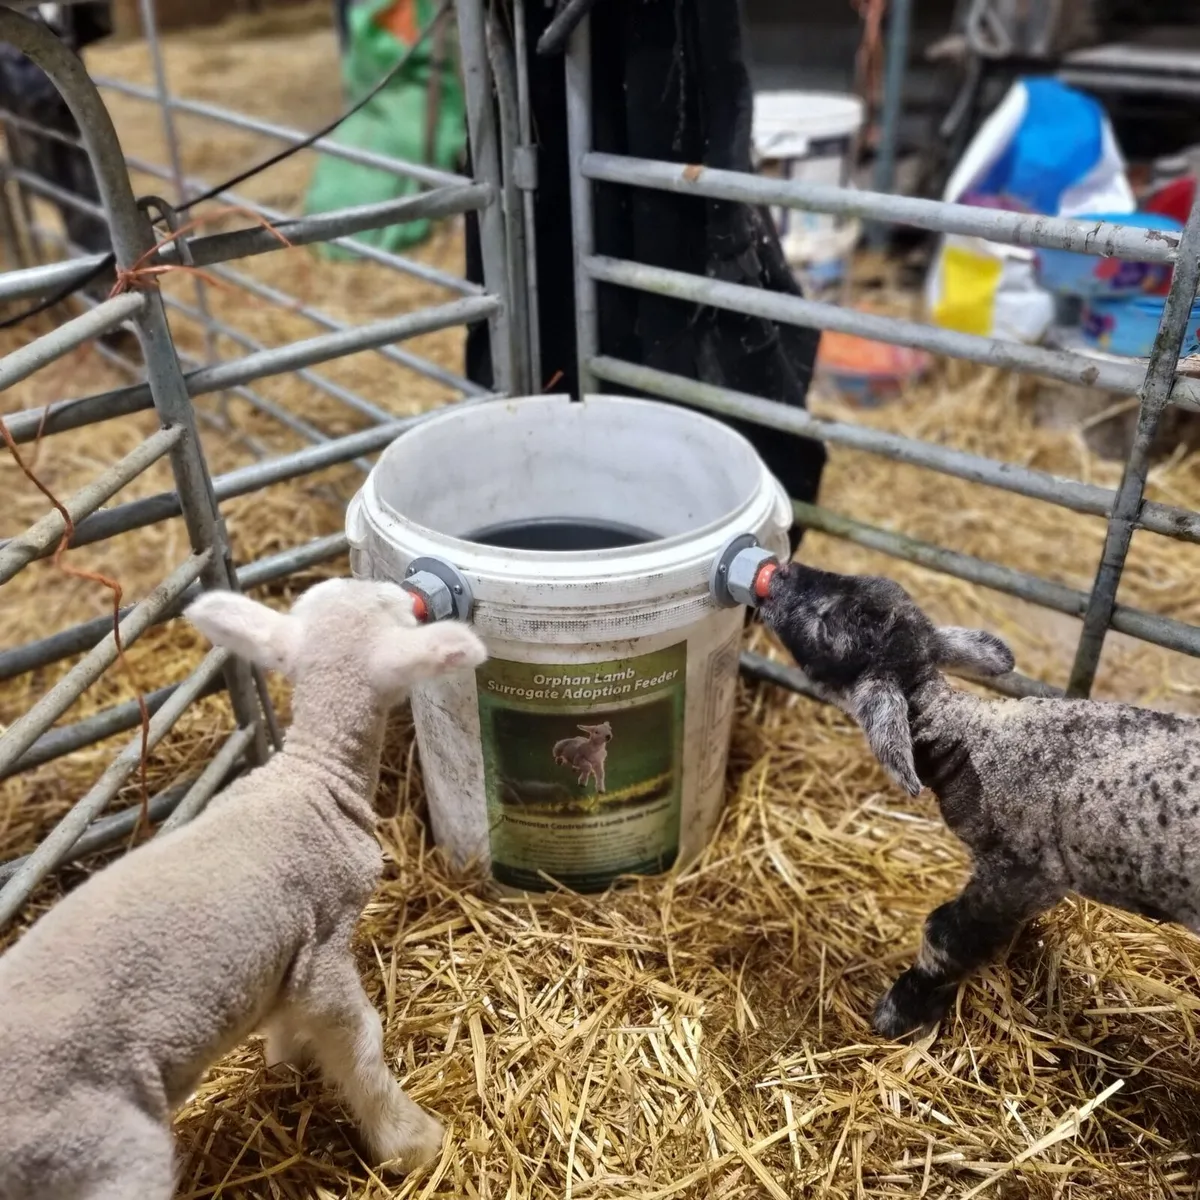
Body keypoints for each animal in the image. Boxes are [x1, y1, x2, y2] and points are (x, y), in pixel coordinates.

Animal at [0, 578, 487, 1200]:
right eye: (395, 609)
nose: (400, 587)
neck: (312, 773)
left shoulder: (288, 953)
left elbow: (286, 1020)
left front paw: (286, 1063)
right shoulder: (324, 944)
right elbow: (361, 1040)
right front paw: (411, 1141)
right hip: (102, 1151)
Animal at [758, 560, 1200, 1041]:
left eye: (825, 624)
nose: (782, 570)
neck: (966, 737)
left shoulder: (1018, 872)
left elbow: (944, 935)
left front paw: (899, 1012)